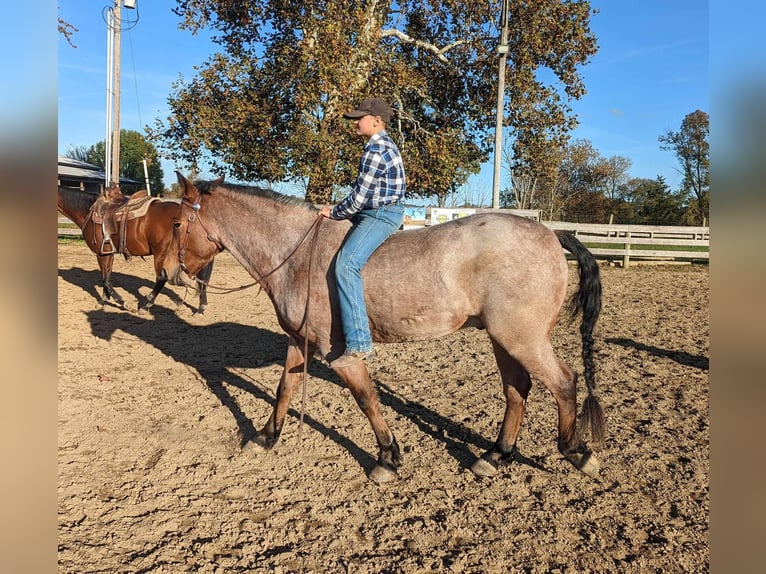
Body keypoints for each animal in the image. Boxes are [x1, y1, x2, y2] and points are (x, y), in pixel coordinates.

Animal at [58, 187, 214, 316]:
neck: (87, 212)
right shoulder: (108, 254)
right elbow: (107, 276)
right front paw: (104, 300)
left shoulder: (101, 253)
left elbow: (105, 280)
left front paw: (122, 302)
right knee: (203, 280)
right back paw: (201, 308)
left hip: (162, 254)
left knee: (162, 278)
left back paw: (146, 305)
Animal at [166, 172, 608, 486]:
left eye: (176, 224)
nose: (170, 272)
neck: (298, 255)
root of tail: (551, 232)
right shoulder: (299, 341)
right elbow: (284, 389)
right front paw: (265, 438)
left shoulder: (340, 354)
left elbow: (367, 400)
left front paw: (387, 459)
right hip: (504, 339)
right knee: (517, 391)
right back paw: (495, 456)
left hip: (522, 338)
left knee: (563, 382)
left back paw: (577, 452)